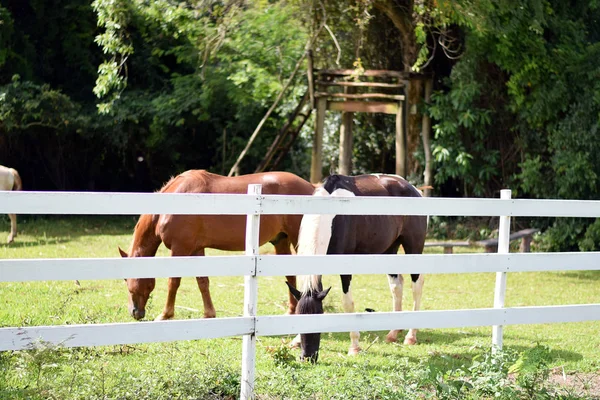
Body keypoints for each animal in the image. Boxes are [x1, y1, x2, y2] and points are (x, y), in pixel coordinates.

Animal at [117, 170, 314, 320]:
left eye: (126, 279)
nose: (134, 312)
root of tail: (311, 187)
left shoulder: (180, 248)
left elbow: (173, 281)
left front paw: (165, 315)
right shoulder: (196, 248)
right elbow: (202, 281)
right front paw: (209, 314)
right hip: (281, 240)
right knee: (291, 274)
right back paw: (291, 312)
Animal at [288, 173, 428, 360]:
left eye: (319, 315)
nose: (308, 357)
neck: (331, 216)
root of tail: (412, 188)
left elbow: (348, 303)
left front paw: (354, 346)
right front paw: (296, 340)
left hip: (414, 247)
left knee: (417, 286)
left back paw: (411, 336)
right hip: (389, 250)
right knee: (397, 285)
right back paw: (393, 332)